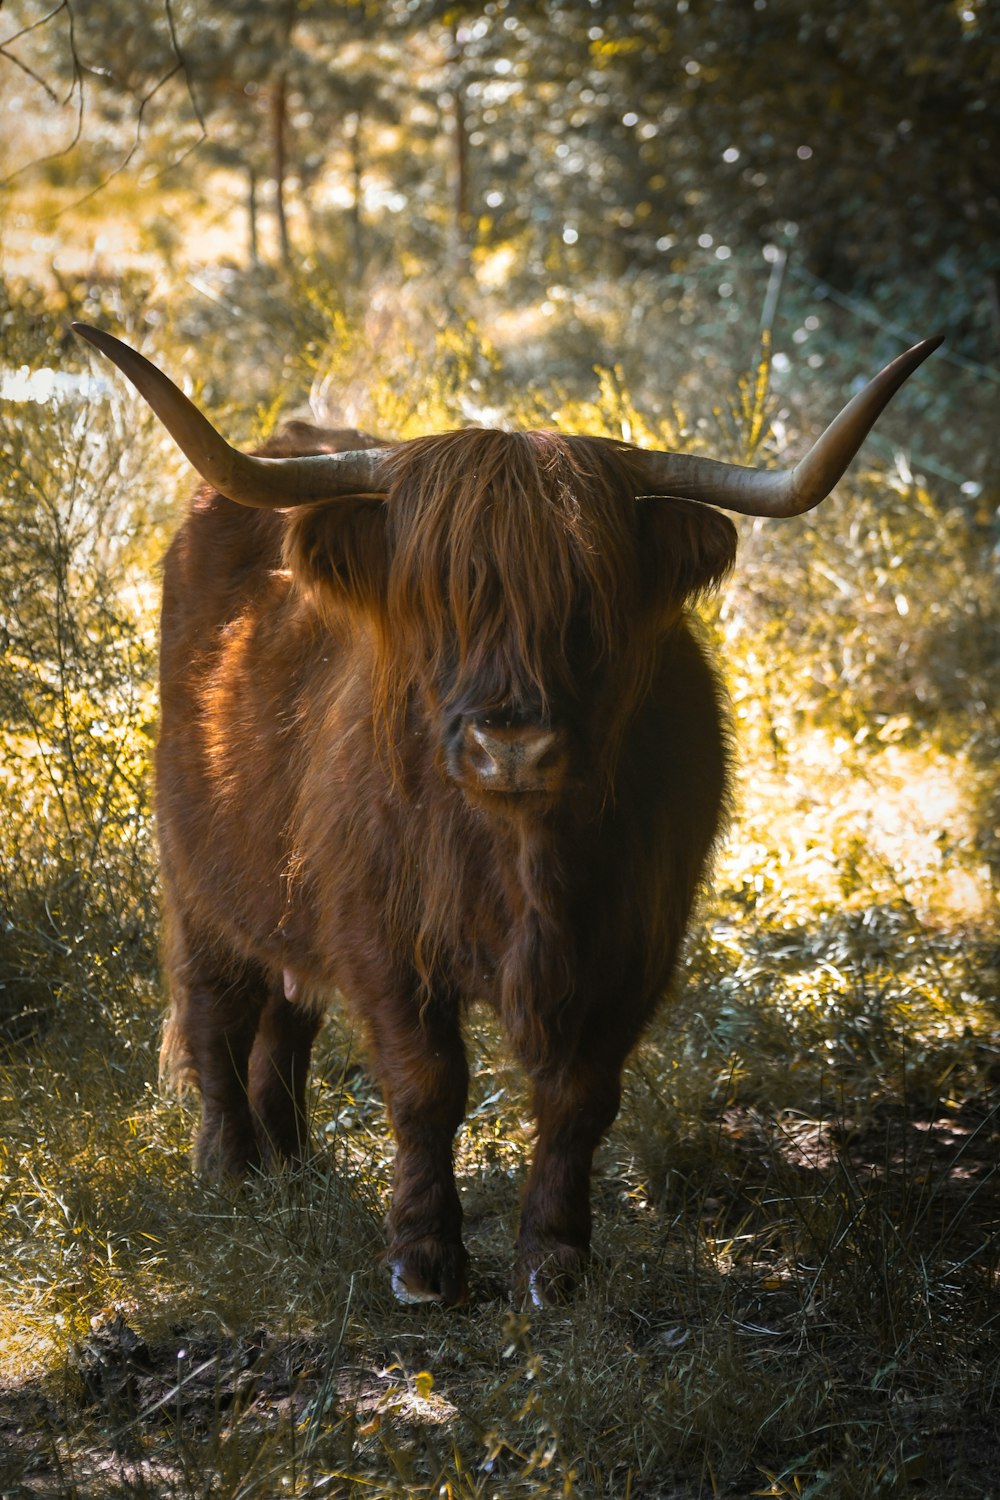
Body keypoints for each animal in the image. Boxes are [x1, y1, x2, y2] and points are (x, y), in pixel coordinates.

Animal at [74, 322, 941, 1308]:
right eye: (437, 593)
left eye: (590, 600)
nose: (513, 745)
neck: (522, 854)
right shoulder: (381, 934)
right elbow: (426, 1085)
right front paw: (422, 1260)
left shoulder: (636, 942)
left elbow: (580, 1095)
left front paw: (554, 1260)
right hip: (199, 872)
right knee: (218, 1011)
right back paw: (229, 1171)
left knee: (286, 1022)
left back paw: (295, 1166)